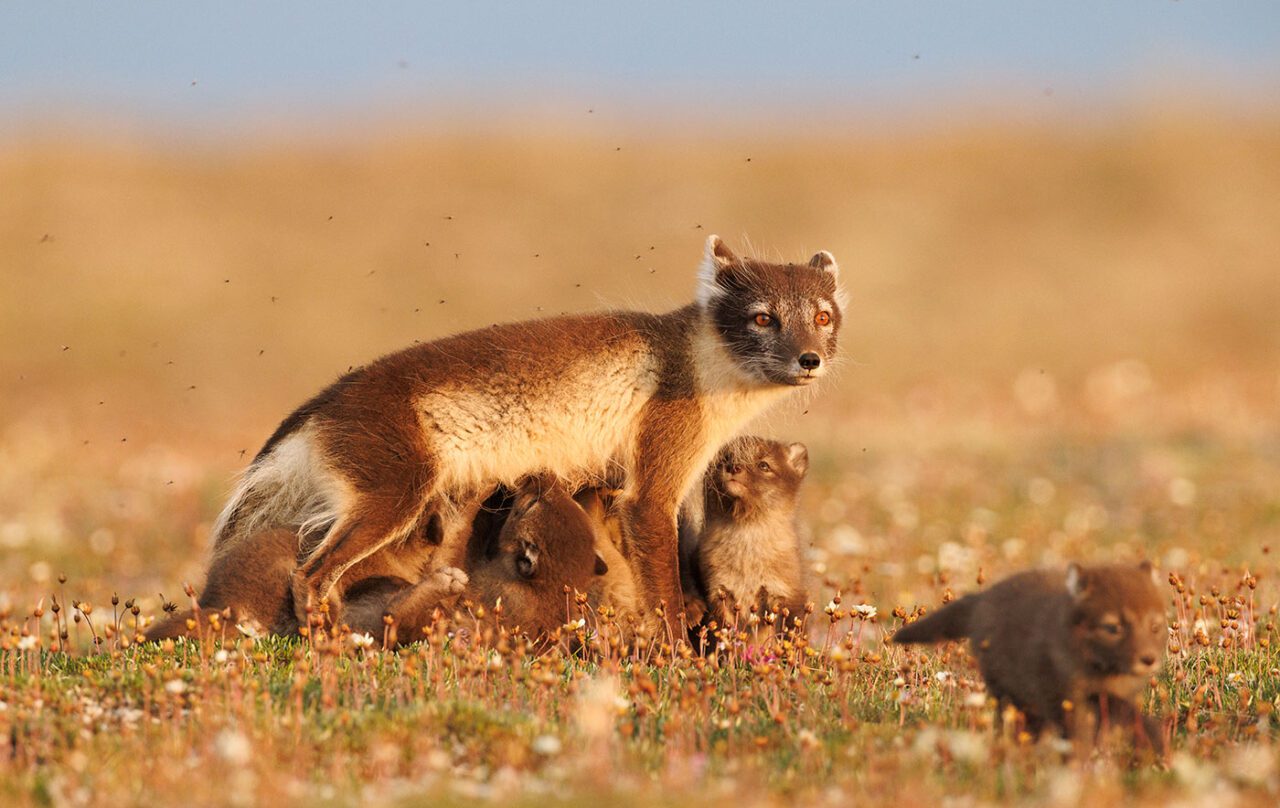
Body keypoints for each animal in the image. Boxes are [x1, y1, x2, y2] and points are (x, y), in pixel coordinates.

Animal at [215, 236, 844, 630]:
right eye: (762, 317)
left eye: (822, 317)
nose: (810, 360)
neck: (699, 364)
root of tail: (319, 407)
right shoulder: (652, 484)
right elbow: (663, 592)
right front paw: (678, 657)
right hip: (394, 495)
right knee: (310, 575)